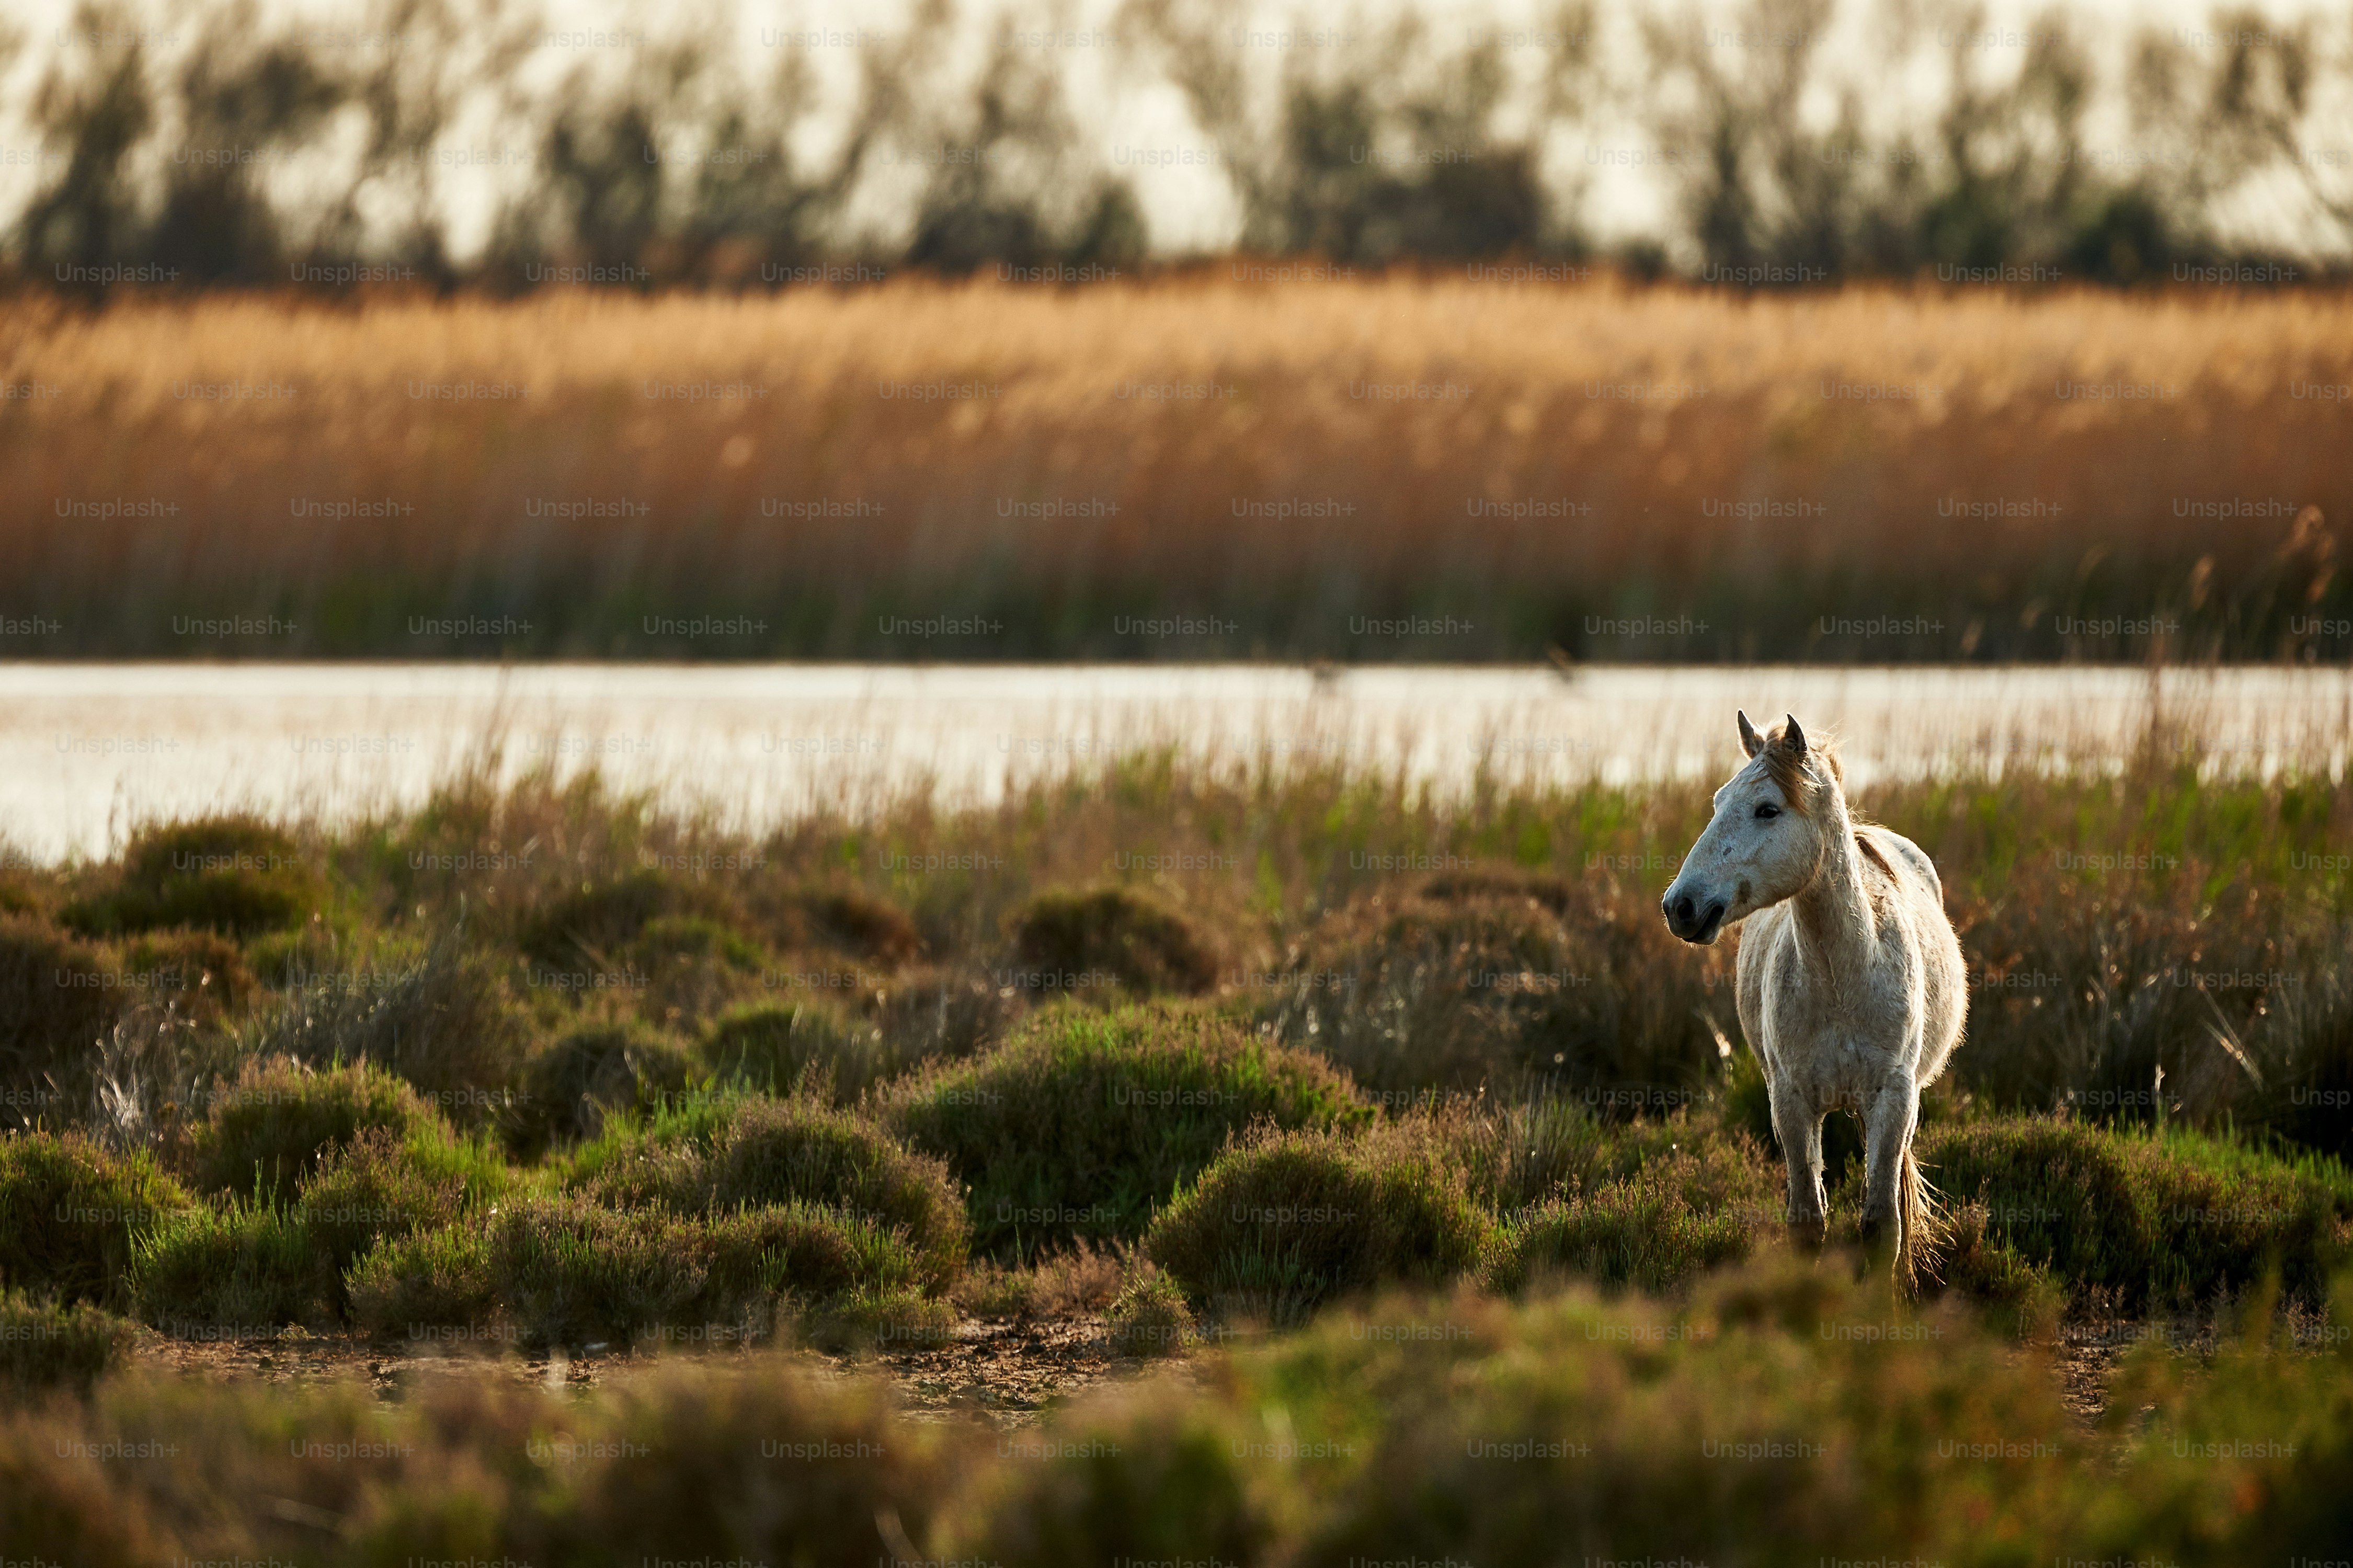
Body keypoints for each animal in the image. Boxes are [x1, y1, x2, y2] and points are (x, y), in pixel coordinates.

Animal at [1660, 711, 1966, 1284]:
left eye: (1767, 809)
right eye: (1718, 801)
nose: (1679, 906)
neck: (1843, 979)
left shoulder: (1894, 1099)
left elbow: (1881, 1226)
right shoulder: (1791, 1100)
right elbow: (1808, 1222)